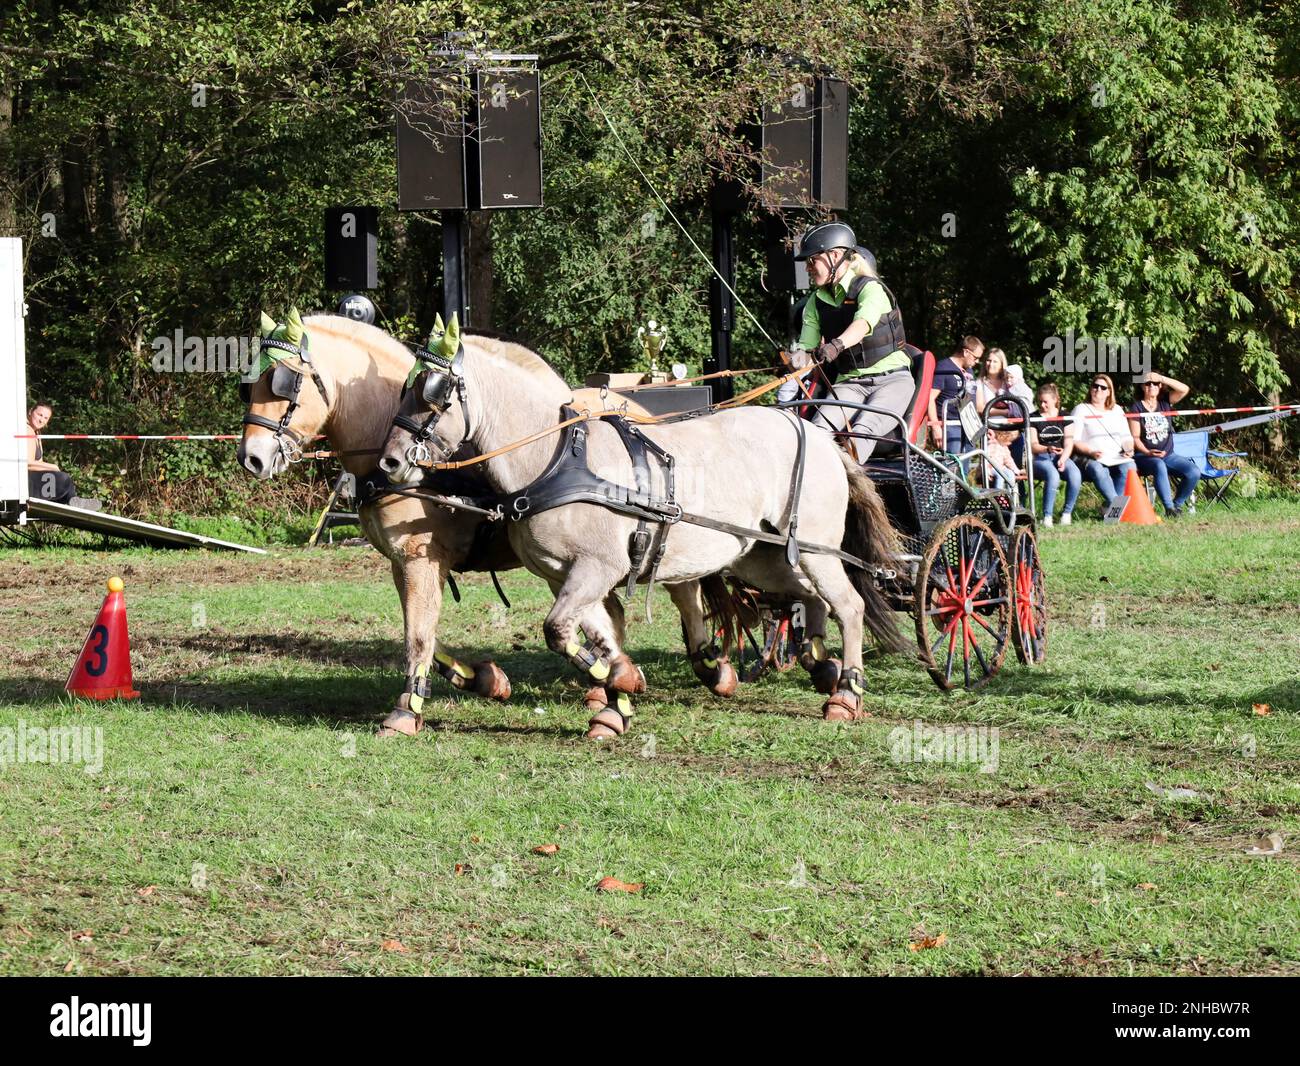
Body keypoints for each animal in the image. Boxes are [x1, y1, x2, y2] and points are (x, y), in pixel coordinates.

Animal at [236, 312, 743, 738]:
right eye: (249, 385)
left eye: (284, 384)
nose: (252, 458)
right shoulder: (405, 564)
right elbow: (426, 634)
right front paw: (483, 678)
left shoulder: (420, 558)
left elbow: (417, 635)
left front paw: (405, 711)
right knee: (615, 609)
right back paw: (610, 689)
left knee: (684, 589)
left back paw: (708, 669)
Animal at [377, 332, 904, 743]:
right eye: (403, 388)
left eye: (436, 392)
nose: (390, 462)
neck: (556, 457)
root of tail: (822, 438)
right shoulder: (567, 577)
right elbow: (596, 635)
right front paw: (619, 691)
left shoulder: (599, 567)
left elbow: (558, 630)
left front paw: (620, 684)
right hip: (759, 556)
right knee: (809, 597)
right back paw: (822, 664)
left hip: (814, 549)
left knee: (848, 605)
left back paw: (846, 692)